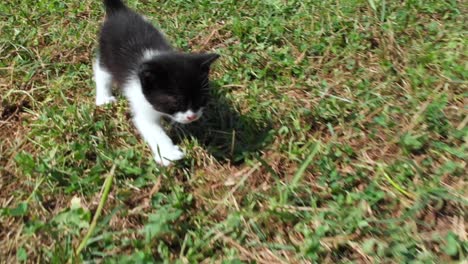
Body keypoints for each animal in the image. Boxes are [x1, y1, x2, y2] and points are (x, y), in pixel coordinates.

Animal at [94, 0, 219, 165]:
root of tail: (119, 11)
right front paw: (169, 154)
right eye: (176, 102)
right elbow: (152, 129)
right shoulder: (140, 101)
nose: (192, 117)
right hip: (106, 54)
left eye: (201, 98)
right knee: (101, 72)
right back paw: (103, 98)